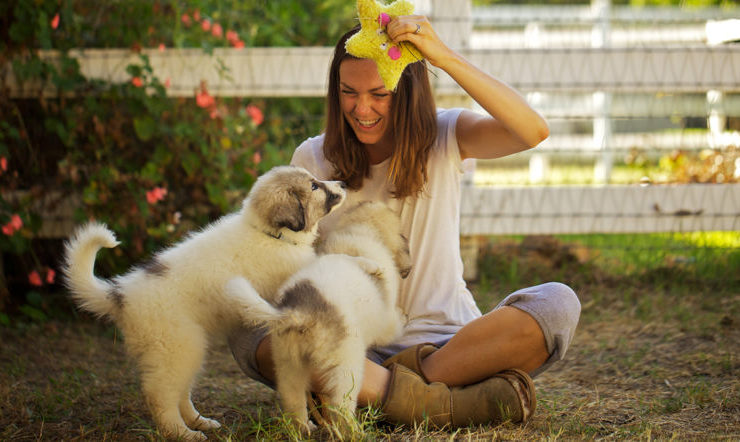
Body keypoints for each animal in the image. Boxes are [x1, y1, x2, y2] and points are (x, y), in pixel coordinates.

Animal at [61, 167, 346, 442]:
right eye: (313, 186)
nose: (343, 184)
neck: (269, 234)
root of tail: (120, 294)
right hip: (176, 347)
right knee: (161, 396)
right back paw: (182, 432)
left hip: (187, 348)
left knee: (181, 391)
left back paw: (200, 422)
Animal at [225, 202, 410, 434]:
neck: (362, 230)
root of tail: (299, 313)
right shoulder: (385, 322)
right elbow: (395, 325)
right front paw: (404, 316)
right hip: (346, 368)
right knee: (341, 407)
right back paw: (355, 432)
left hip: (288, 365)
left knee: (294, 403)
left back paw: (304, 428)